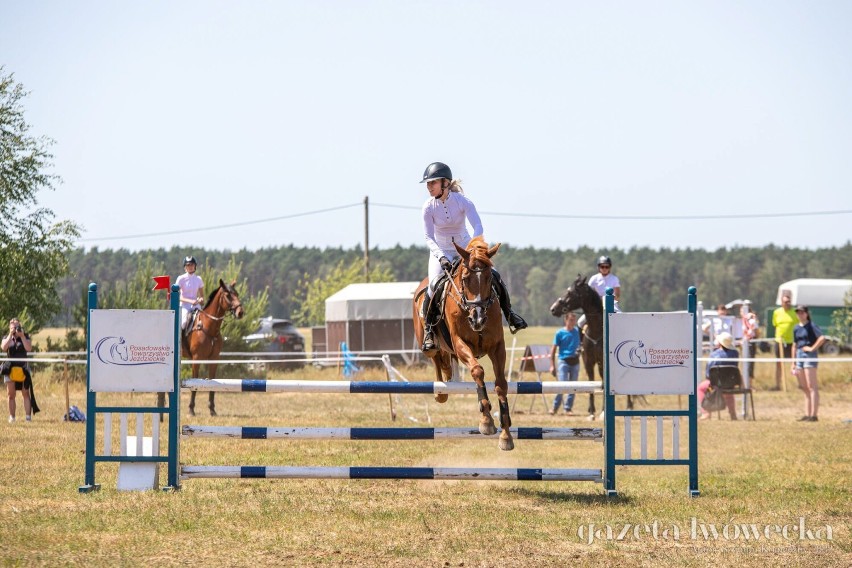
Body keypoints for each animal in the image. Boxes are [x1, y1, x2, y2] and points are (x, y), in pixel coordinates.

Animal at [184, 280, 243, 418]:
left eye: (237, 294)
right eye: (228, 295)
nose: (240, 312)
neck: (208, 327)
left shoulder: (214, 359)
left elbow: (212, 382)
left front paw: (212, 410)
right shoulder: (196, 359)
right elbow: (194, 383)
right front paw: (191, 410)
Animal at [412, 235, 512, 448]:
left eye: (490, 278)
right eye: (465, 279)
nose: (478, 319)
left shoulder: (497, 347)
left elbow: (501, 384)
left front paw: (506, 435)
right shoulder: (460, 344)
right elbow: (477, 371)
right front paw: (486, 421)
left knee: (445, 363)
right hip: (429, 343)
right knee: (435, 358)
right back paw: (440, 392)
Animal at [548, 272, 644, 420]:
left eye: (570, 292)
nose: (553, 309)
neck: (597, 329)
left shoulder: (604, 364)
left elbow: (604, 385)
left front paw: (603, 412)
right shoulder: (589, 362)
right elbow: (592, 383)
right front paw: (592, 412)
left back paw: (629, 407)